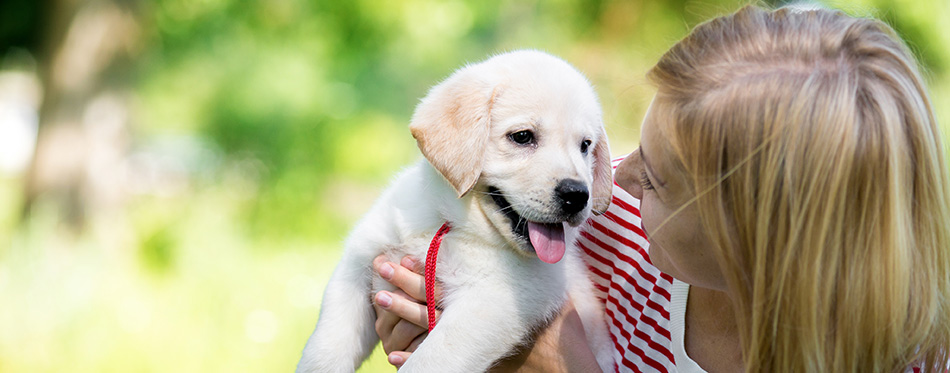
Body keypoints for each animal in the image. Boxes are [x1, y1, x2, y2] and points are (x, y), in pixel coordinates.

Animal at [302, 50, 620, 372]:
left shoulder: (492, 302)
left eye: (585, 145)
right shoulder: (356, 266)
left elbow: (429, 360)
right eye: (522, 136)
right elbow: (325, 350)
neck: (451, 223)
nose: (577, 195)